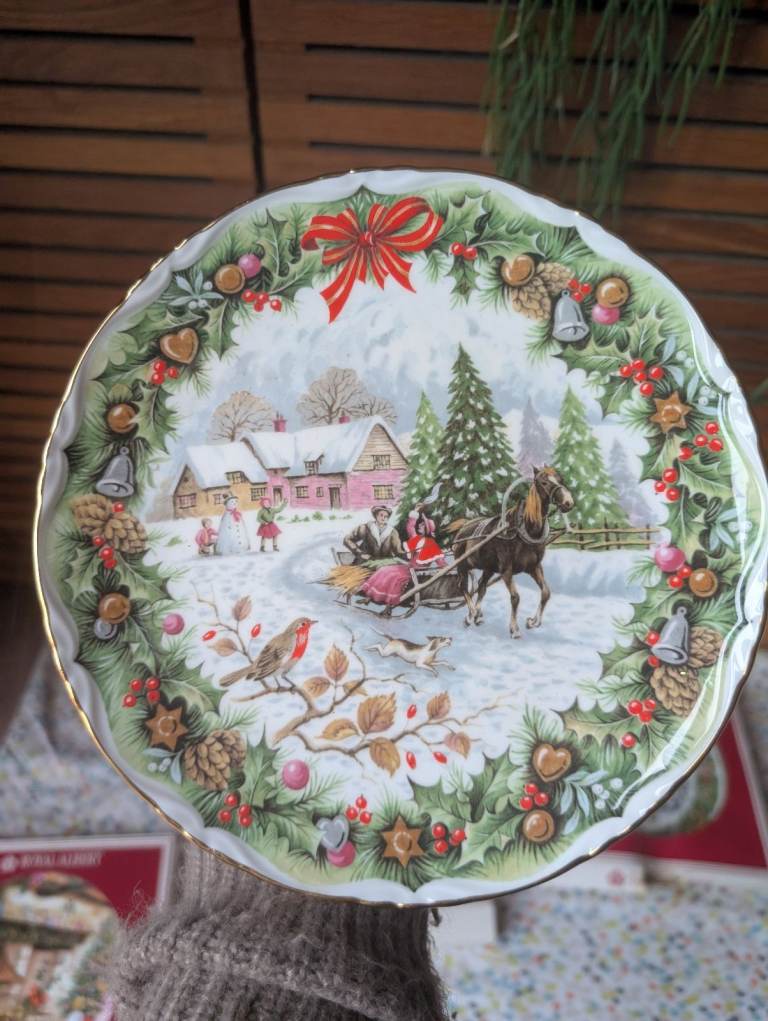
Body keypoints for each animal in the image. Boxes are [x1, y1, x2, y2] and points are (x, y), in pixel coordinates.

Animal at [451, 466, 574, 638]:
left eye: (561, 479)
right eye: (544, 482)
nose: (568, 502)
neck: (523, 530)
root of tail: (463, 527)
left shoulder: (534, 567)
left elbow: (546, 593)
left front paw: (533, 622)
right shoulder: (506, 570)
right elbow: (515, 597)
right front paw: (515, 629)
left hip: (488, 568)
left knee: (482, 587)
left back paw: (477, 615)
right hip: (462, 565)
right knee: (462, 587)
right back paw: (471, 614)